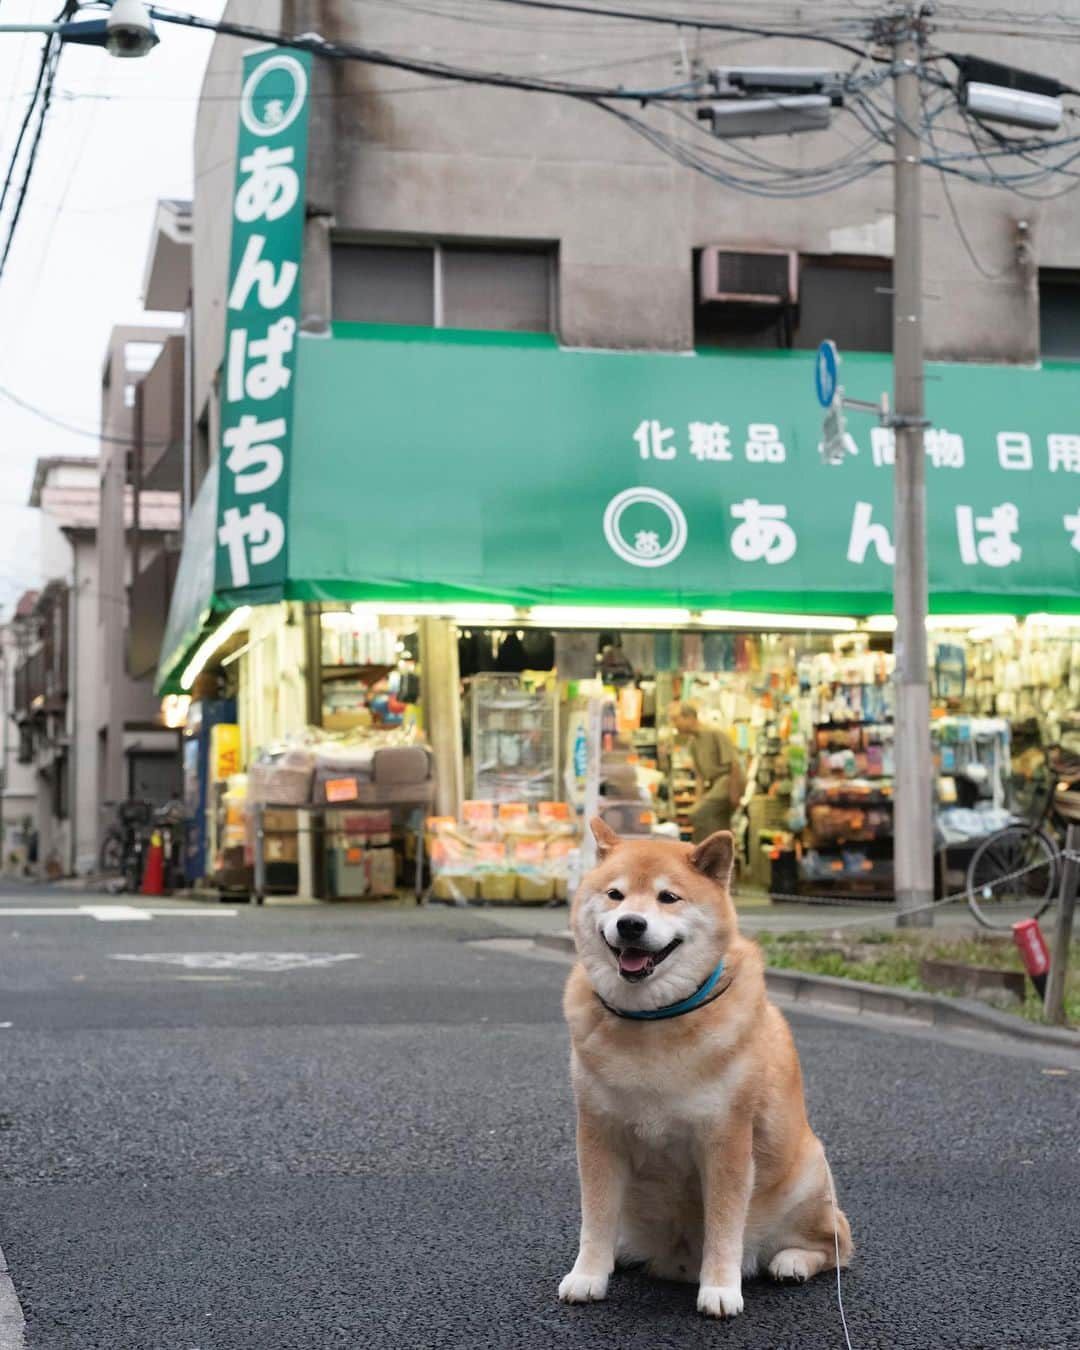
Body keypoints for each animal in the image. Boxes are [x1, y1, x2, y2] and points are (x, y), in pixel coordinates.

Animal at [556, 820, 853, 1317]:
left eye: (668, 897)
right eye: (615, 894)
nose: (630, 923)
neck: (653, 1021)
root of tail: (673, 1260)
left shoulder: (726, 1141)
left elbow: (724, 1226)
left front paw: (719, 1289)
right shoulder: (599, 1133)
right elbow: (595, 1217)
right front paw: (588, 1275)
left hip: (808, 1174)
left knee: (835, 1244)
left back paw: (790, 1260)